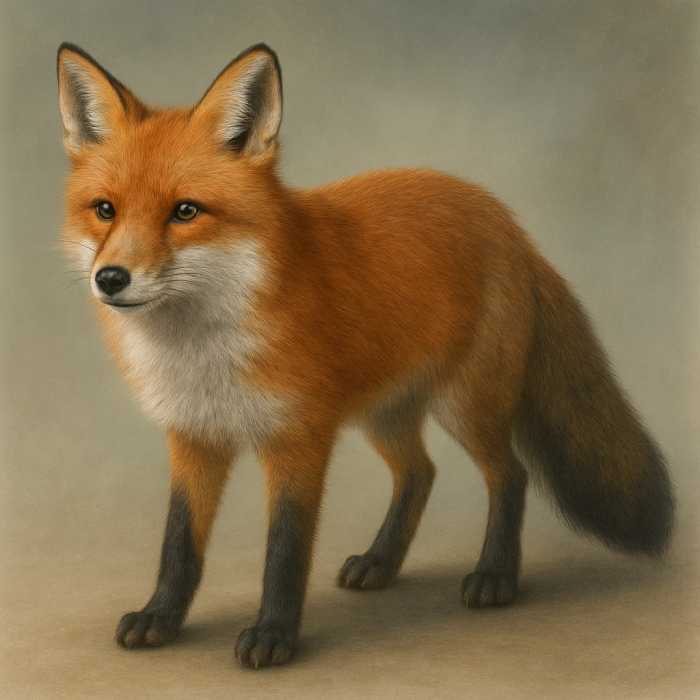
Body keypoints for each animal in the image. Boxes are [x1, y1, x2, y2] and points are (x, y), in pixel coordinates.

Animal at [56, 41, 674, 669]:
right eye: (105, 210)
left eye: (185, 211)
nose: (111, 278)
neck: (203, 353)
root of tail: (508, 222)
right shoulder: (194, 438)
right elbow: (178, 545)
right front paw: (161, 616)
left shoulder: (299, 438)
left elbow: (285, 550)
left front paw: (274, 634)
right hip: (384, 414)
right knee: (420, 473)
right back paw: (382, 562)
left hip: (465, 407)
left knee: (511, 475)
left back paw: (496, 575)